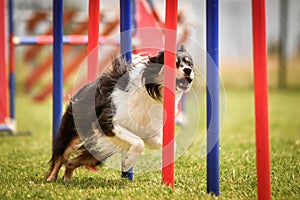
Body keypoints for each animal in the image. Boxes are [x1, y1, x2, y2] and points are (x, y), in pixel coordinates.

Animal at [45, 45, 195, 181]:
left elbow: (171, 145)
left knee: (72, 162)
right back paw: (50, 179)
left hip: (99, 151)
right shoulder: (107, 122)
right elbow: (138, 142)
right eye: (174, 63)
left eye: (189, 63)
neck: (152, 92)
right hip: (73, 131)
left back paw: (67, 179)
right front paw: (128, 162)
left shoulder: (150, 134)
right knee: (60, 154)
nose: (189, 70)